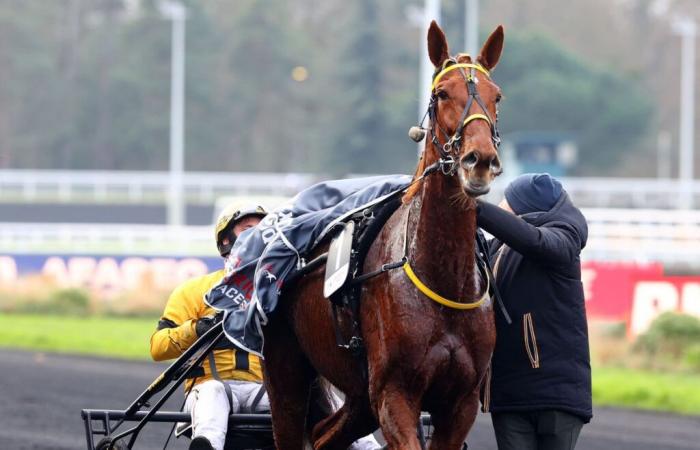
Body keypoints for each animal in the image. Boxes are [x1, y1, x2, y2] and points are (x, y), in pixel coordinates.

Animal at [262, 22, 504, 450]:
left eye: (497, 96)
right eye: (442, 94)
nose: (480, 160)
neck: (441, 276)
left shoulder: (460, 403)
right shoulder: (395, 392)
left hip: (359, 396)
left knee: (323, 437)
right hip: (286, 370)